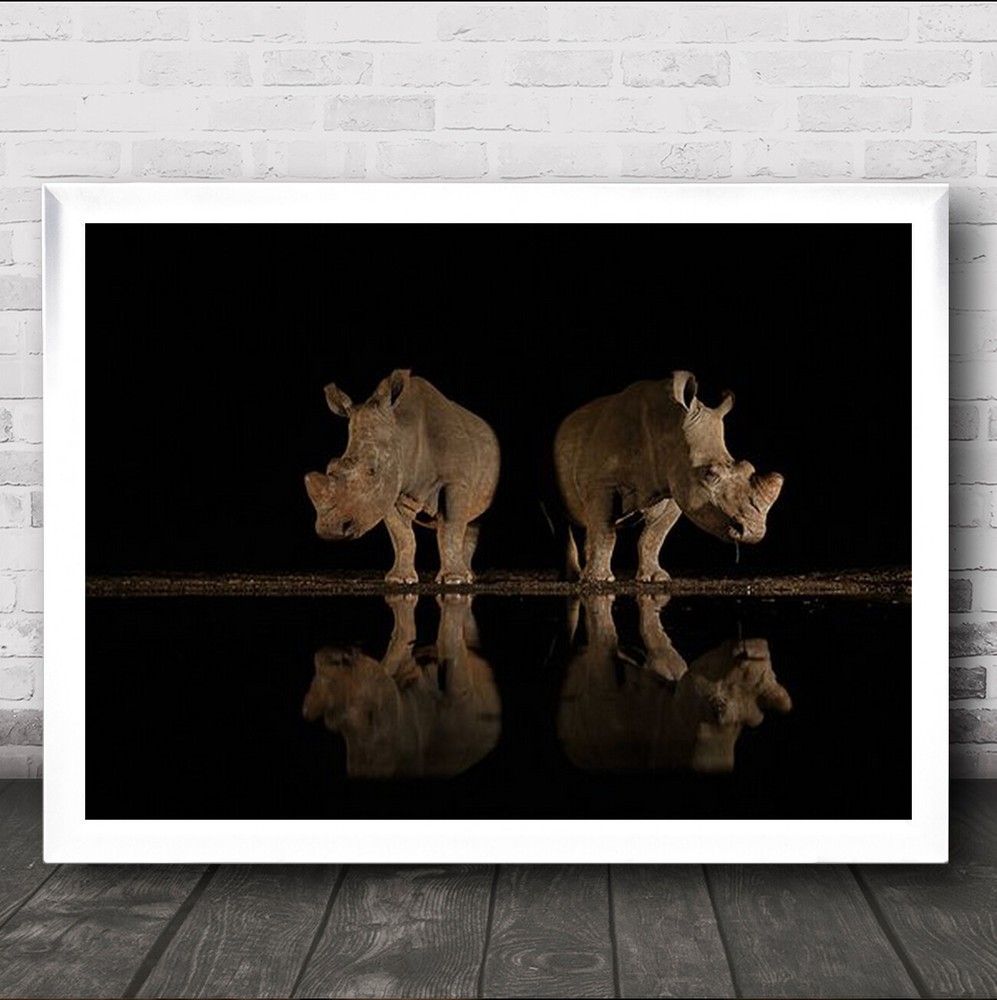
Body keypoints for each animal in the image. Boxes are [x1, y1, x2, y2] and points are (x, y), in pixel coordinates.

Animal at [305, 370, 500, 584]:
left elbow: (451, 529)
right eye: (331, 466)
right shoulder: (389, 487)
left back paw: (468, 576)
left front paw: (454, 579)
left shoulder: (455, 481)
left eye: (372, 471)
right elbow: (402, 534)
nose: (330, 530)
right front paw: (399, 579)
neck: (404, 433)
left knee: (473, 518)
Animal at [553, 372, 784, 582]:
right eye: (710, 475)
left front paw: (657, 578)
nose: (754, 532)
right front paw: (599, 580)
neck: (669, 428)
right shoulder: (602, 483)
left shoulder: (675, 487)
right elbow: (605, 531)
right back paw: (574, 577)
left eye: (749, 468)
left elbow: (654, 536)